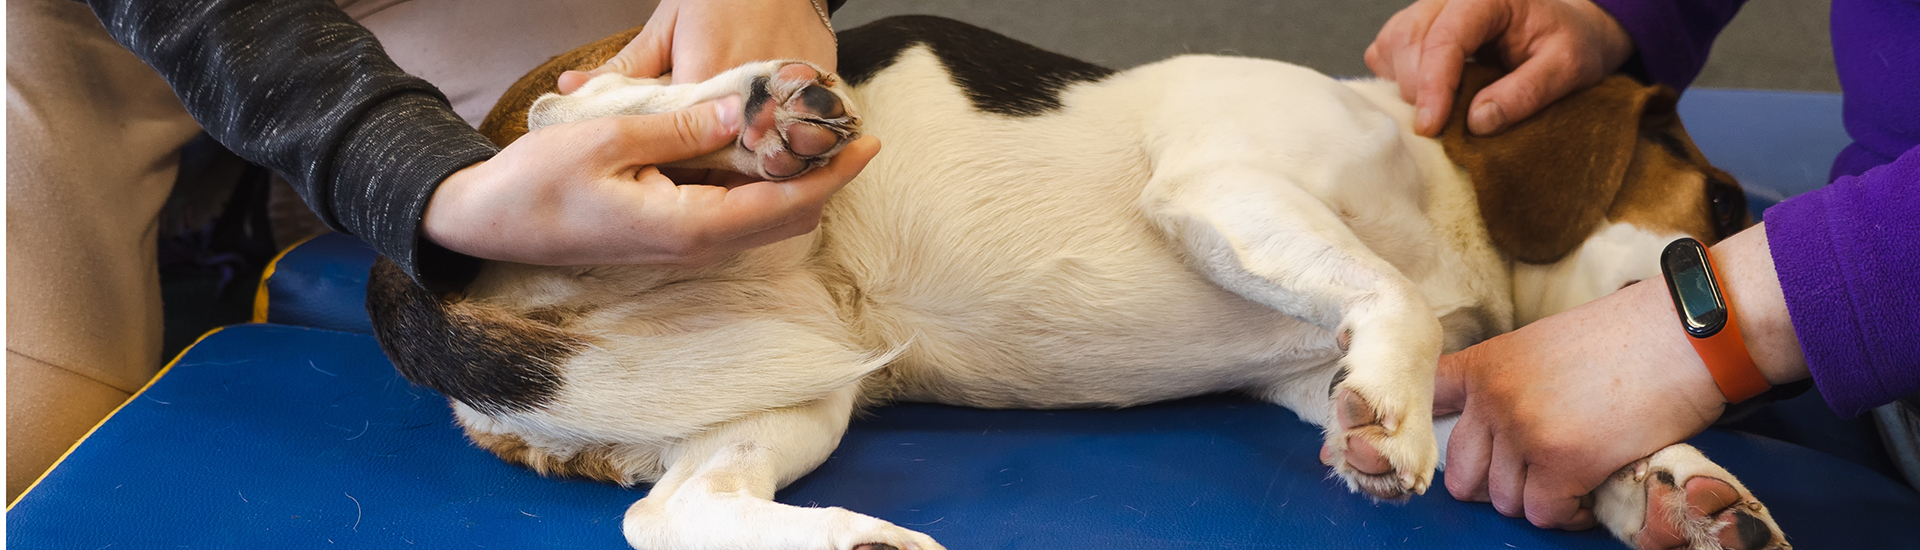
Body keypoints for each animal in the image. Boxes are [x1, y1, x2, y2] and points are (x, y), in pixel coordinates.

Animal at [370, 15, 1781, 550]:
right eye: (1722, 206)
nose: (1767, 391)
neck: (1449, 198)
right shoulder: (1226, 183)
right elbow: (1390, 296)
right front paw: (1392, 397)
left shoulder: (1307, 352)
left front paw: (1682, 489)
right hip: (611, 141)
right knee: (578, 109)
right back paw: (759, 114)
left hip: (774, 394)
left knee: (671, 514)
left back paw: (851, 541)